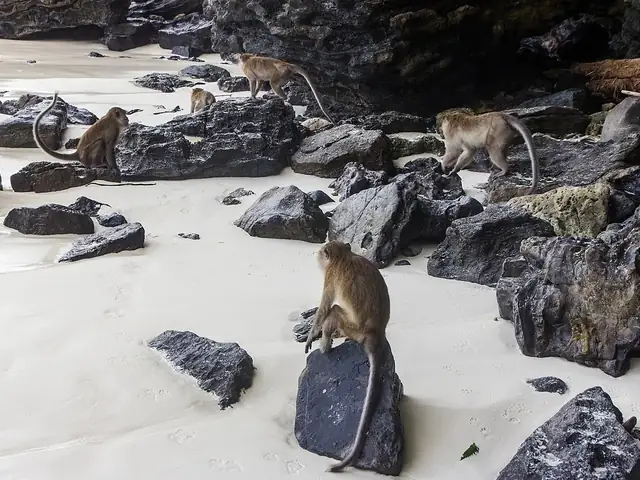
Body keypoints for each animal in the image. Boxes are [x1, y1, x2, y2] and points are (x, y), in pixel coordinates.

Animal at [304, 240, 390, 473]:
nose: (316, 257)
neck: (344, 257)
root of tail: (374, 334)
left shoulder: (330, 276)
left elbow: (324, 308)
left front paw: (312, 335)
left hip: (353, 328)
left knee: (334, 311)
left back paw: (325, 345)